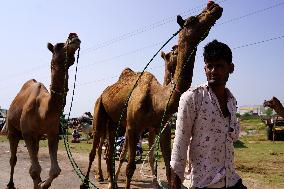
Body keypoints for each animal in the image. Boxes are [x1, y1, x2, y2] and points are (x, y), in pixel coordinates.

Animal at [5, 33, 81, 189]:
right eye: (59, 45)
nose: (74, 36)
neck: (43, 111)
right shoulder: (27, 134)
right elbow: (34, 169)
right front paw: (40, 183)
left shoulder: (53, 134)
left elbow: (55, 170)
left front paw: (42, 184)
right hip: (12, 130)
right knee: (13, 158)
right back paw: (10, 183)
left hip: (37, 137)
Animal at [82, 1, 224, 189]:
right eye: (192, 19)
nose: (213, 5)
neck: (158, 100)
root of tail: (103, 93)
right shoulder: (132, 127)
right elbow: (130, 166)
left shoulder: (162, 128)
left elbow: (169, 168)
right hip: (99, 112)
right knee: (95, 149)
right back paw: (89, 181)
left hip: (113, 123)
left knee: (110, 151)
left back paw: (112, 183)